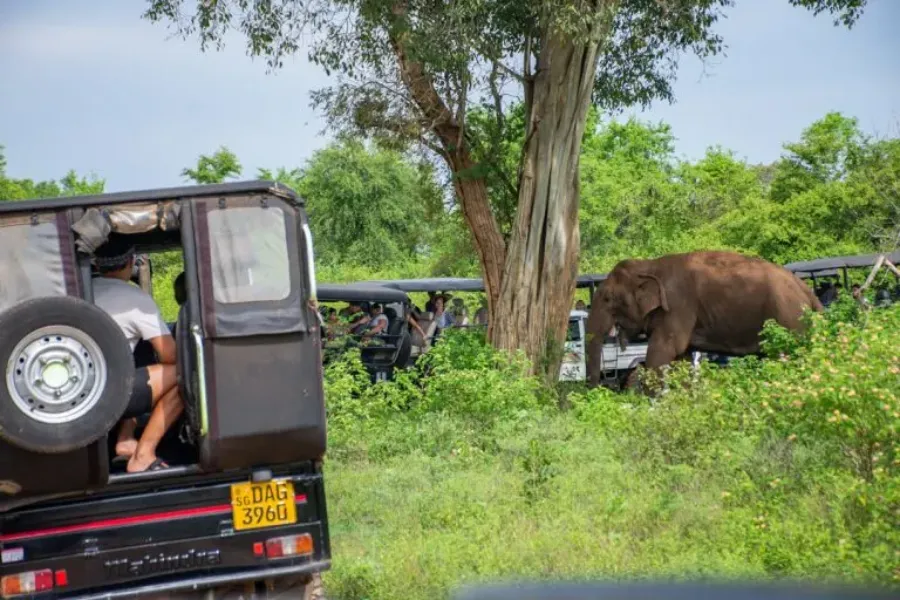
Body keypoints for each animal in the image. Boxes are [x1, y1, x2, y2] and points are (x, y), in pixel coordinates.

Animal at [586, 250, 824, 388]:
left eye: (607, 298)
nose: (598, 389)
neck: (649, 265)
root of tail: (806, 289)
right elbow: (679, 358)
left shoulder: (678, 306)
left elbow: (661, 353)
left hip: (789, 318)